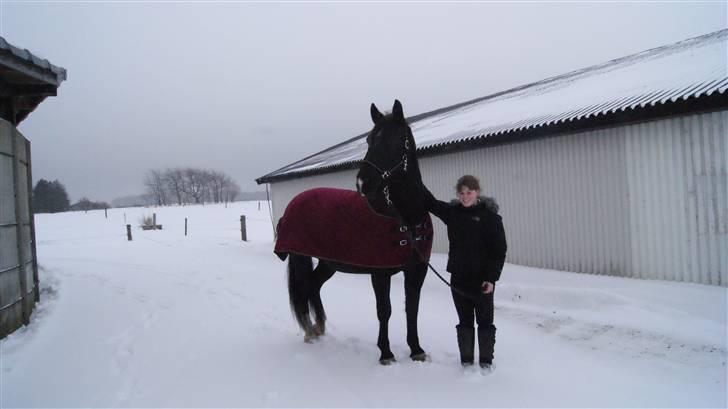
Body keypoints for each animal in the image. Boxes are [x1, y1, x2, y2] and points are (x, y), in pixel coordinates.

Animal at [276, 99, 430, 364]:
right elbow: (384, 311)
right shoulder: (380, 274)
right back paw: (310, 331)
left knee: (314, 285)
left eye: (395, 140)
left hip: (328, 263)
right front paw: (386, 353)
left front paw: (416, 349)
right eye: (369, 140)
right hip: (300, 257)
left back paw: (319, 327)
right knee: (305, 287)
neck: (405, 218)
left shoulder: (416, 271)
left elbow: (413, 309)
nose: (363, 183)